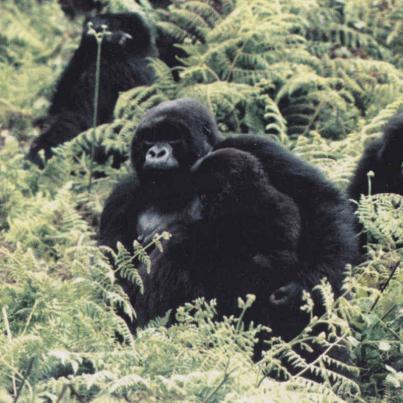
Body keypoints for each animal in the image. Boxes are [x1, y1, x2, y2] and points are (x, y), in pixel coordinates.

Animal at [98, 98, 360, 348]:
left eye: (172, 137)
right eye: (149, 139)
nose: (156, 153)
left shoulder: (255, 146)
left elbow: (318, 199)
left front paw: (304, 288)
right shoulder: (121, 198)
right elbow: (115, 284)